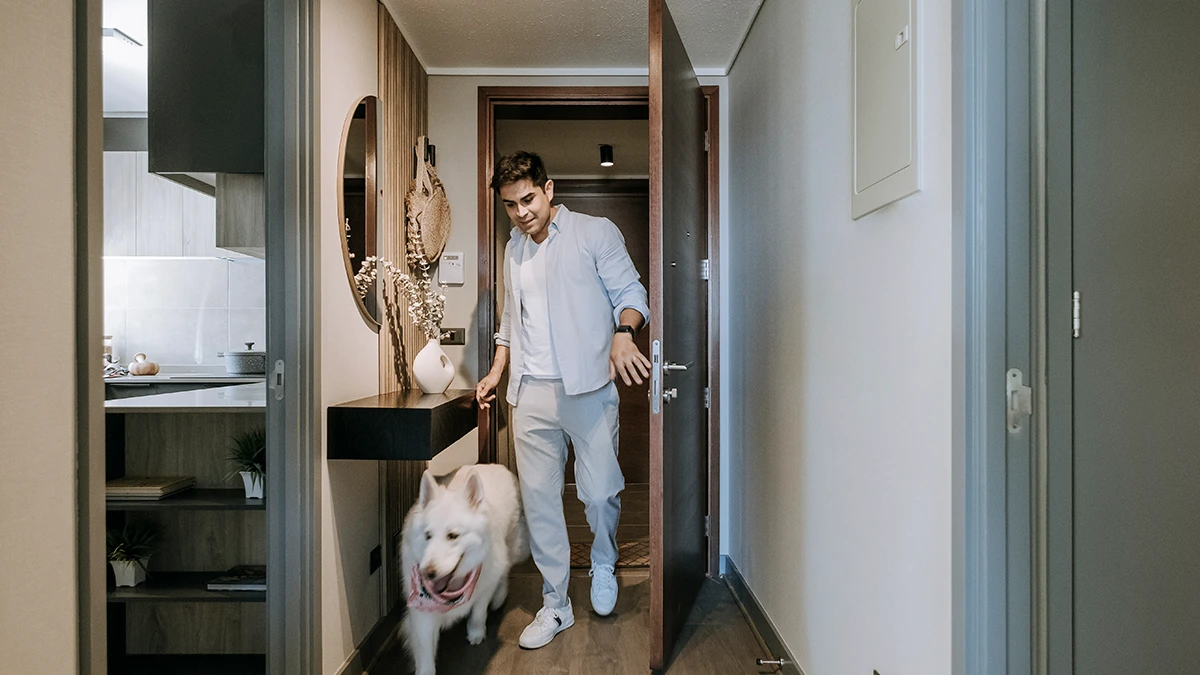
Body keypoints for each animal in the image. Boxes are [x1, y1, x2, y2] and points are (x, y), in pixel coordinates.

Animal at [400, 461, 528, 672]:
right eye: (428, 536)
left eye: (452, 536)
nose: (428, 573)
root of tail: (492, 464)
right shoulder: (422, 614)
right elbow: (425, 654)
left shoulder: (484, 587)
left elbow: (478, 613)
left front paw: (476, 633)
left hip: (511, 545)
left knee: (505, 568)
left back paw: (499, 598)